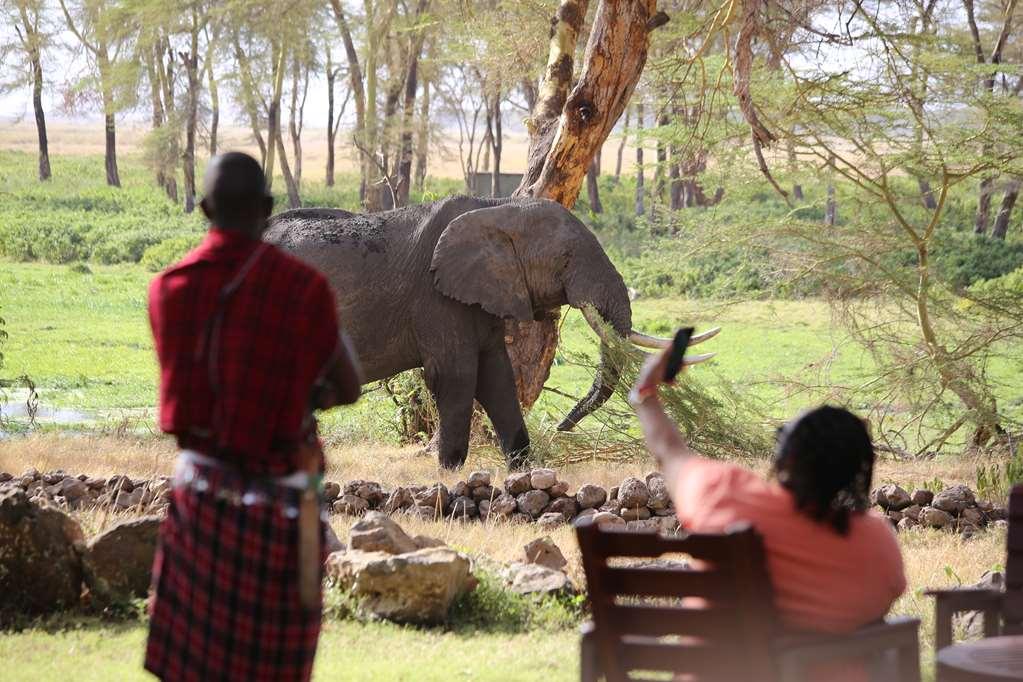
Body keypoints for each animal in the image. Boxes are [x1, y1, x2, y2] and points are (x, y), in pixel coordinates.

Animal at [261, 194, 720, 466]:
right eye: (566, 259)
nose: (562, 427)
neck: (498, 208)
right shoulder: (438, 298)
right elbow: (459, 376)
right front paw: (449, 472)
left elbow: (498, 376)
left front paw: (522, 469)